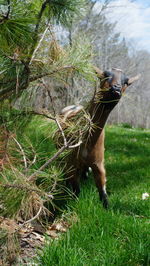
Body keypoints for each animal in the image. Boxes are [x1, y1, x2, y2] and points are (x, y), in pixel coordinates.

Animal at [60, 67, 139, 209]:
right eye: (105, 75)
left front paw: (108, 208)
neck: (88, 142)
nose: (116, 88)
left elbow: (103, 193)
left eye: (126, 82)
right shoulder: (71, 162)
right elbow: (76, 191)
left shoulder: (99, 163)